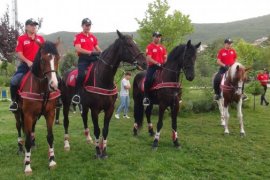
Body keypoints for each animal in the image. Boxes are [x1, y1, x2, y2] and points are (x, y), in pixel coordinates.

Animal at [12, 40, 60, 174]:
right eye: (43, 60)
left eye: (58, 58)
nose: (54, 85)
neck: (41, 88)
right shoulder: (28, 115)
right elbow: (27, 140)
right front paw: (28, 166)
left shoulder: (50, 113)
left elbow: (50, 137)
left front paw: (52, 161)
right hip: (18, 114)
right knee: (19, 127)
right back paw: (20, 148)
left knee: (31, 129)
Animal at [61, 30, 147, 158]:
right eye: (129, 45)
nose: (144, 63)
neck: (103, 78)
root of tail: (65, 75)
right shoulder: (95, 109)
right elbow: (97, 130)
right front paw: (98, 151)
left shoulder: (110, 109)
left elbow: (105, 130)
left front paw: (104, 151)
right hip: (66, 103)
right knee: (66, 122)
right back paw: (66, 144)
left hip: (84, 106)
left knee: (84, 118)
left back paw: (88, 138)